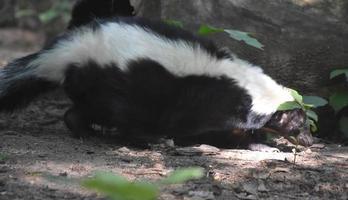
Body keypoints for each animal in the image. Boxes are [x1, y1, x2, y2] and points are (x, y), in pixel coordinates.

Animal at [0, 0, 312, 148]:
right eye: (298, 123)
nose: (310, 141)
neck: (248, 87)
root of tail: (69, 50)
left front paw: (260, 141)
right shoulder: (209, 104)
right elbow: (211, 129)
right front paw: (252, 144)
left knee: (82, 111)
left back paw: (86, 132)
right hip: (119, 86)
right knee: (120, 116)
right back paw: (146, 139)